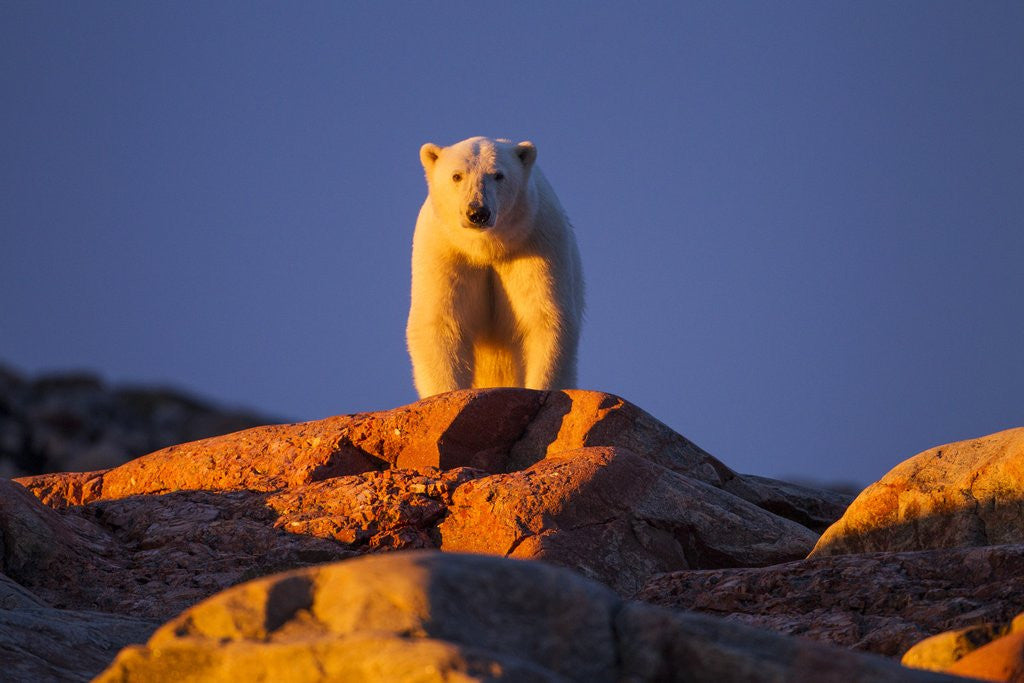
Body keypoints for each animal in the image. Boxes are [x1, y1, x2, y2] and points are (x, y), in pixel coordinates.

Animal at [406, 136, 584, 398]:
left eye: (498, 175)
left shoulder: (534, 242)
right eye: (457, 176)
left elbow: (543, 318)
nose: (477, 212)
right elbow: (441, 322)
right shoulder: (446, 250)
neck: (486, 248)